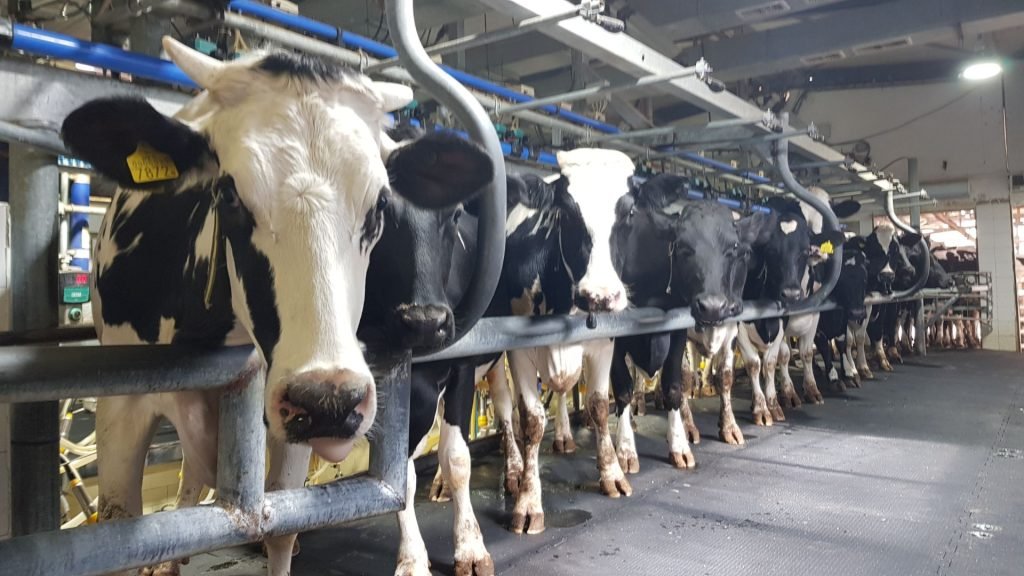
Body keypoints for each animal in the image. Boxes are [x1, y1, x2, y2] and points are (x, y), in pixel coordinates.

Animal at [61, 39, 484, 576]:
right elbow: (121, 532)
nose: (330, 399)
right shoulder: (120, 403)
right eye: (228, 194)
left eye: (379, 206)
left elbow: (282, 526)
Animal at [609, 173, 772, 471]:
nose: (713, 306)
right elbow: (623, 388)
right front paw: (625, 449)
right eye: (684, 248)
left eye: (734, 249)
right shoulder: (614, 336)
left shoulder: (679, 330)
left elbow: (680, 384)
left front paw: (682, 443)